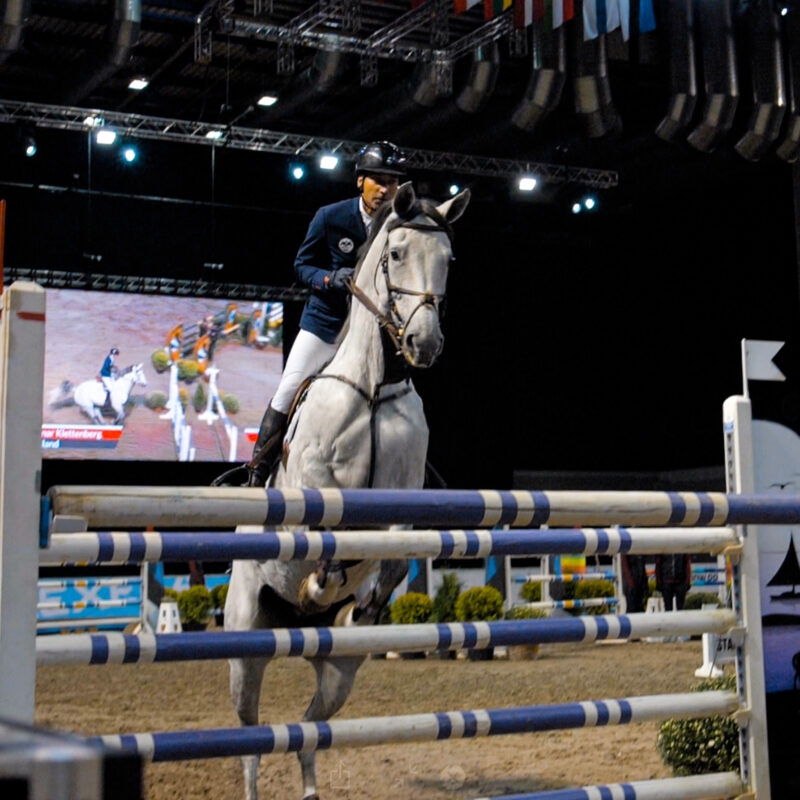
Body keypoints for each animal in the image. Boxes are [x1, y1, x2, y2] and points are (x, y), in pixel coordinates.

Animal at [225, 181, 468, 800]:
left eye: (448, 260)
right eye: (397, 253)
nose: (424, 343)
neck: (375, 384)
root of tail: (294, 631)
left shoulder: (402, 496)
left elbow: (395, 552)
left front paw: (371, 598)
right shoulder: (312, 474)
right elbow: (327, 520)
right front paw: (319, 579)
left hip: (339, 670)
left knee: (309, 729)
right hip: (245, 645)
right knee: (251, 734)